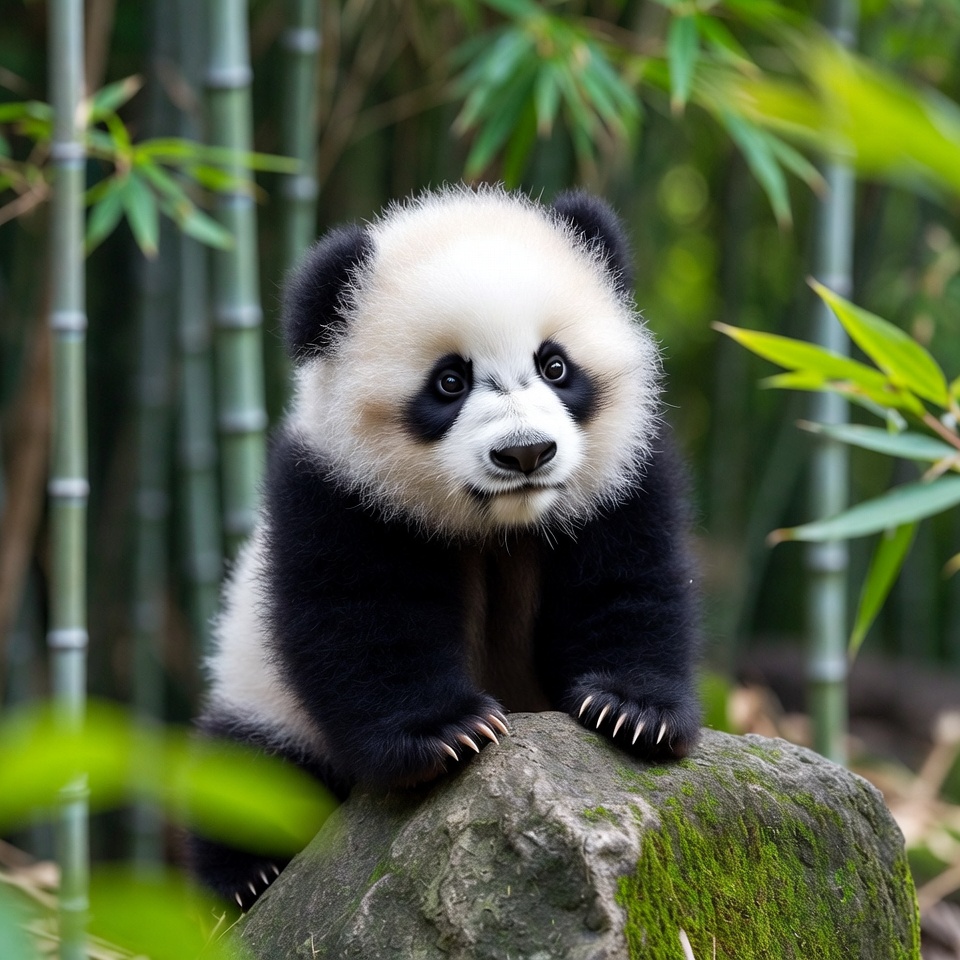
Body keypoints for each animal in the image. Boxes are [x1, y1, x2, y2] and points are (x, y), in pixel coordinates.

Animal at [189, 185, 701, 910]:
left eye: (555, 365)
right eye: (450, 382)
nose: (525, 453)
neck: (501, 524)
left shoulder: (624, 474)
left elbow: (631, 585)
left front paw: (632, 712)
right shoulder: (335, 491)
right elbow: (364, 616)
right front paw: (448, 732)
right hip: (259, 692)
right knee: (249, 772)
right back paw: (248, 877)